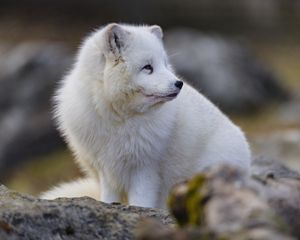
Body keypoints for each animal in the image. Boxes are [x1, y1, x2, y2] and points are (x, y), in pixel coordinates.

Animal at [40, 23, 251, 209]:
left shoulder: (145, 169)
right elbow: (108, 199)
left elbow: (141, 203)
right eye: (147, 67)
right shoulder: (106, 169)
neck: (119, 120)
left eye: (165, 64)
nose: (179, 83)